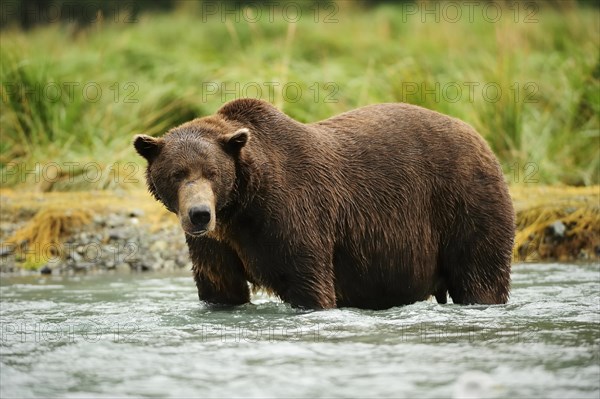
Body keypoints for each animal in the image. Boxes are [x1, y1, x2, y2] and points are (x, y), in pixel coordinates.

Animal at [135, 98, 516, 310]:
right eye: (177, 174)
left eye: (212, 173)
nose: (199, 215)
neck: (241, 208)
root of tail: (481, 139)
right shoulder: (218, 244)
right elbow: (220, 287)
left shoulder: (293, 213)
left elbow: (308, 281)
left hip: (466, 203)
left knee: (480, 274)